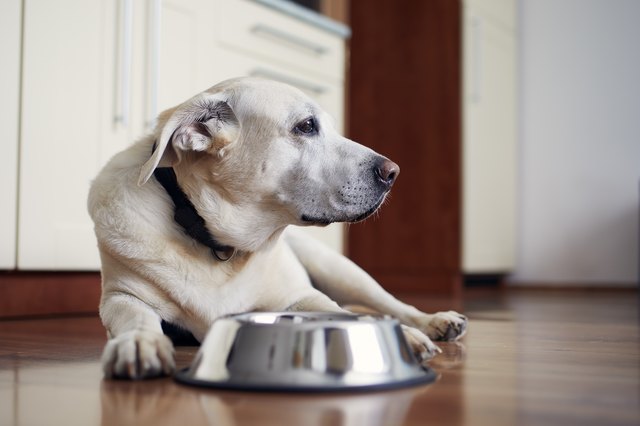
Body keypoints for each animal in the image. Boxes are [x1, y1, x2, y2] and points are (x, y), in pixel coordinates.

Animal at [87, 77, 468, 380]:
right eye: (306, 126)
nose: (393, 173)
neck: (217, 240)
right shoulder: (121, 297)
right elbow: (136, 317)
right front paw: (140, 342)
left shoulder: (302, 296)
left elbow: (339, 312)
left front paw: (404, 335)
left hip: (340, 270)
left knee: (388, 301)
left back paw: (433, 321)